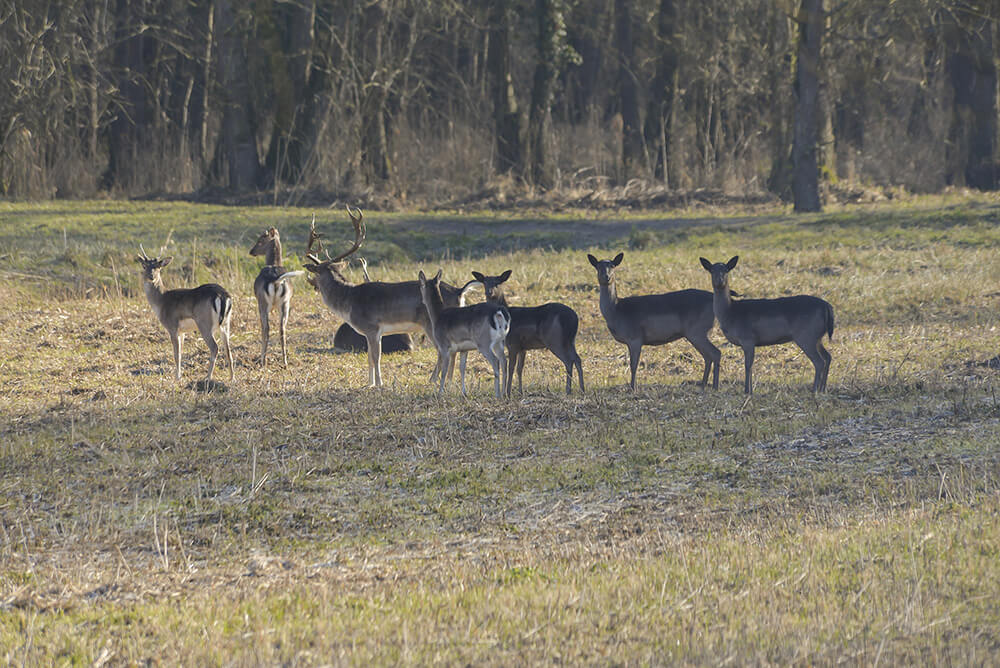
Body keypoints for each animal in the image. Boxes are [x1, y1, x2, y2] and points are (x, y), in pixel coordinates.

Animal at [137, 244, 234, 380]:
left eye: (158, 267)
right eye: (144, 266)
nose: (151, 277)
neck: (161, 302)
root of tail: (223, 295)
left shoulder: (172, 327)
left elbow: (176, 354)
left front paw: (177, 377)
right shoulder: (182, 331)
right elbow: (181, 352)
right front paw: (179, 374)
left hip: (204, 324)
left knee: (215, 347)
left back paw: (208, 377)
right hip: (226, 323)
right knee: (228, 349)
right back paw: (232, 378)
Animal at [248, 227, 302, 368]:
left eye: (260, 240)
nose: (251, 251)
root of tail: (277, 281)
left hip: (263, 303)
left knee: (266, 328)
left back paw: (263, 361)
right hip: (285, 303)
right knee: (282, 329)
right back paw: (285, 362)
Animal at [418, 270, 512, 400]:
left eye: (421, 286)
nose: (422, 300)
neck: (438, 316)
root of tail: (498, 312)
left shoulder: (444, 346)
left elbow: (445, 371)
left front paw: (440, 393)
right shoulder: (464, 349)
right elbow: (462, 368)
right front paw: (464, 392)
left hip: (484, 343)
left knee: (496, 361)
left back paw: (497, 394)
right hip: (500, 341)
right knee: (504, 360)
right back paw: (504, 393)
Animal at [584, 254, 720, 392]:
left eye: (612, 265)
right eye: (598, 266)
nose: (606, 276)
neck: (616, 312)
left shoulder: (635, 338)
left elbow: (634, 365)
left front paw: (633, 388)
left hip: (697, 331)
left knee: (716, 353)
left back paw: (714, 386)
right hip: (696, 333)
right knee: (708, 356)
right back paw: (703, 385)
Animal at [700, 254, 832, 392]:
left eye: (726, 270)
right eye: (712, 270)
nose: (719, 281)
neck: (730, 314)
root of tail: (827, 307)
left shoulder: (747, 338)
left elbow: (748, 364)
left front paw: (747, 391)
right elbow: (750, 364)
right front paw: (750, 390)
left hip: (806, 336)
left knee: (819, 361)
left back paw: (814, 390)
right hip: (817, 337)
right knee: (828, 357)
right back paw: (822, 389)